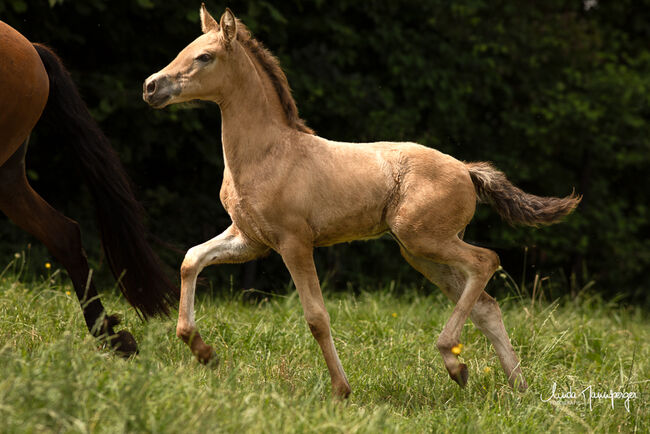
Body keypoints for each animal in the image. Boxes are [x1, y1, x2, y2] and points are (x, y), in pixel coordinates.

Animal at [144, 5, 580, 396]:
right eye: (186, 48)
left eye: (205, 56)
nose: (151, 86)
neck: (268, 154)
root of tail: (467, 169)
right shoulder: (250, 240)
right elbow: (191, 259)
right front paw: (202, 350)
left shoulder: (293, 243)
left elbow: (316, 317)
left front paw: (341, 390)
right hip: (418, 252)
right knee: (486, 304)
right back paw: (517, 389)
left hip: (424, 239)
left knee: (486, 261)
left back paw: (456, 364)